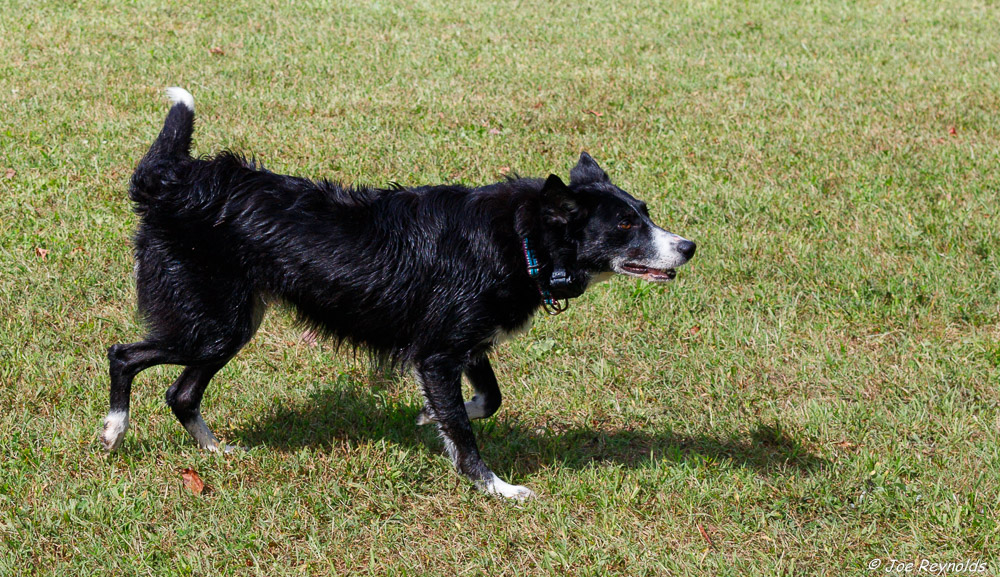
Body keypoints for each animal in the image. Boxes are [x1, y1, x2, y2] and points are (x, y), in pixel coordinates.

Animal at [103, 88, 696, 498]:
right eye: (625, 225)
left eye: (644, 213)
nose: (689, 246)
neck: (522, 236)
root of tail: (174, 182)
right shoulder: (437, 353)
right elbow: (465, 429)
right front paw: (496, 488)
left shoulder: (463, 342)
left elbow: (488, 399)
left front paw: (429, 419)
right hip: (211, 324)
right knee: (124, 355)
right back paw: (113, 432)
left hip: (230, 326)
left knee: (181, 393)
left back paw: (216, 449)